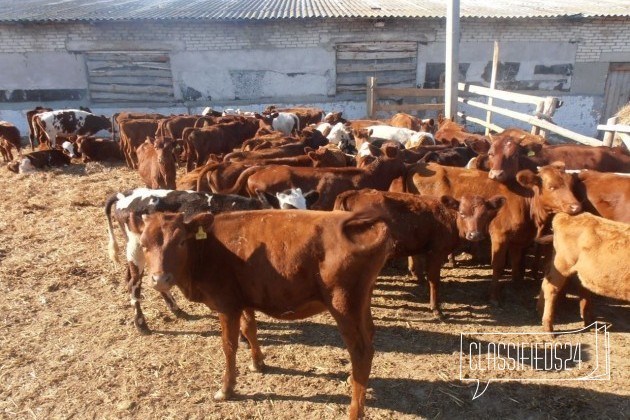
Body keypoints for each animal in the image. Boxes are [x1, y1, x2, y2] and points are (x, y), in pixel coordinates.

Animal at [105, 187, 320, 334]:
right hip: (137, 250)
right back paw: (141, 324)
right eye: (287, 209)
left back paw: (176, 309)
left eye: (308, 207)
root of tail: (127, 194)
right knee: (134, 284)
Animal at [134, 208, 396, 418]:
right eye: (144, 245)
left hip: (344, 304)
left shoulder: (226, 305)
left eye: (180, 242)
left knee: (361, 351)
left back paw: (355, 410)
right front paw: (257, 363)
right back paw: (353, 379)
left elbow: (229, 346)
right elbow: (250, 329)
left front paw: (226, 388)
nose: (160, 279)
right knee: (370, 334)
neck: (208, 248)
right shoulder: (245, 298)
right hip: (361, 302)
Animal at [408, 162, 584, 304]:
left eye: (571, 186)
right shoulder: (500, 236)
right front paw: (494, 296)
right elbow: (498, 265)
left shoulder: (518, 240)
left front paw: (517, 286)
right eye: (552, 187)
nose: (576, 207)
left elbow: (516, 263)